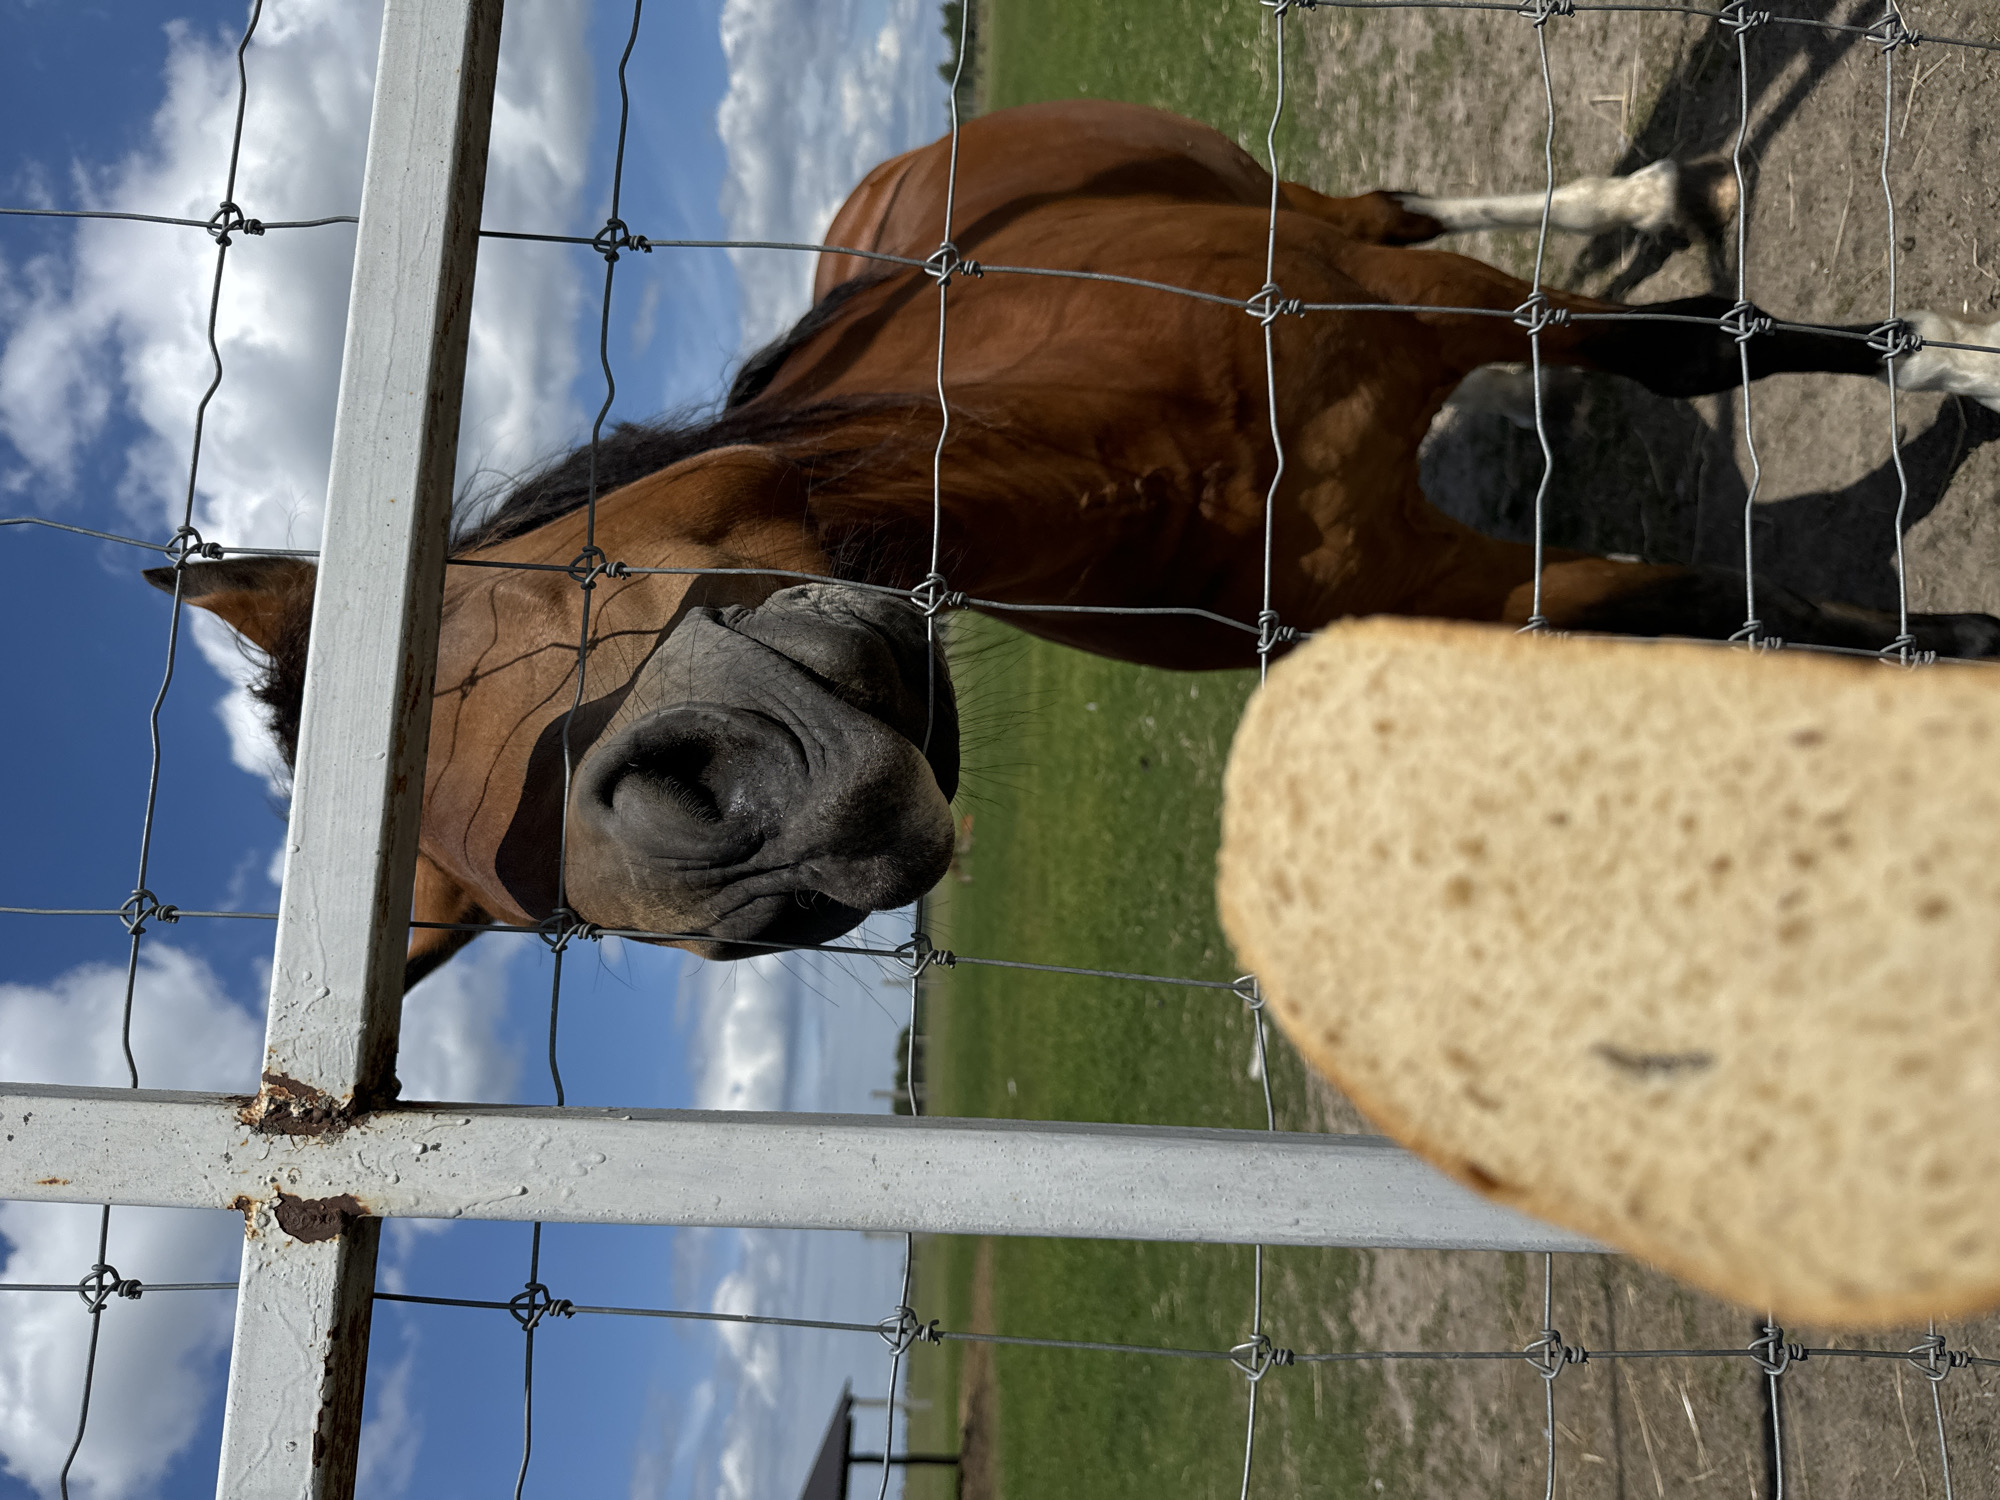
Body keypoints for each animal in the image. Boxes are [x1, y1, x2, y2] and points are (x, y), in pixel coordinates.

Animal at [148, 99, 2000, 981]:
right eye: (549, 922)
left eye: (462, 610)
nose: (732, 848)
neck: (1153, 456)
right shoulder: (1469, 595)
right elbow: (1727, 612)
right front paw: (1954, 679)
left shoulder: (1435, 308)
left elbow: (1715, 354)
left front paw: (1963, 361)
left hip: (1338, 226)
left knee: (1401, 204)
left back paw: (1650, 200)